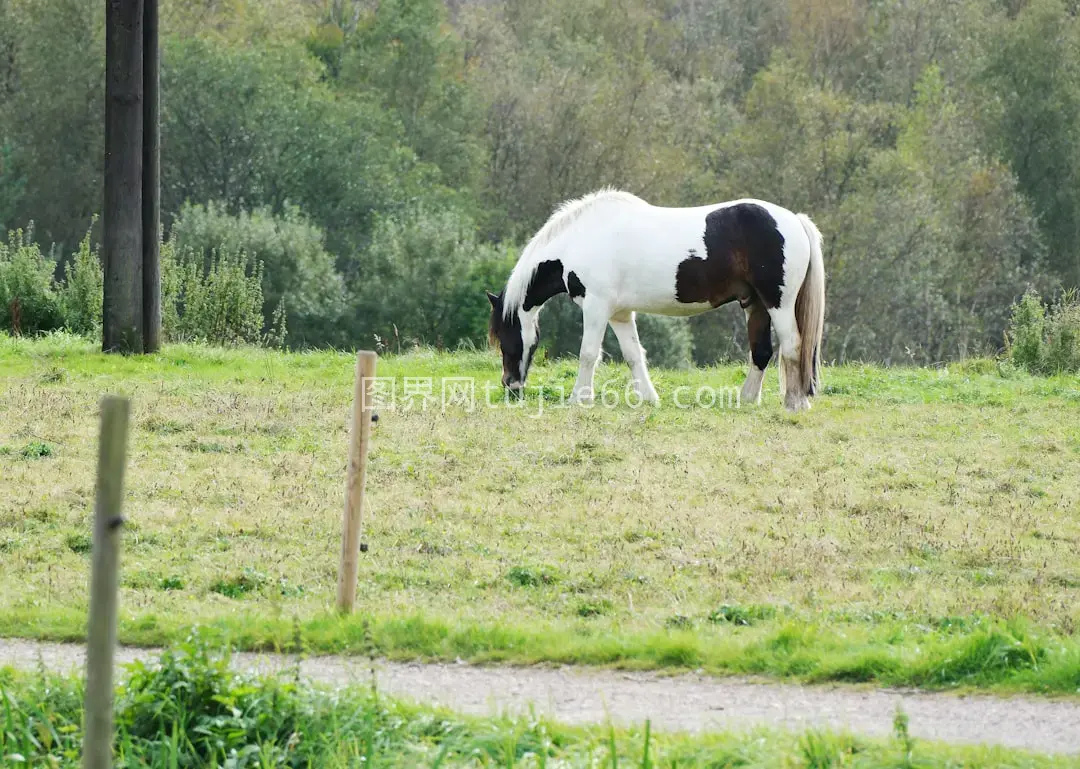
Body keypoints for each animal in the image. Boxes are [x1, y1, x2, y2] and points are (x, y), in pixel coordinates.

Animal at [490, 189, 825, 412]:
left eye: (506, 339)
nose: (511, 386)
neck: (581, 239)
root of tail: (795, 221)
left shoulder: (596, 307)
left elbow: (587, 354)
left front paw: (578, 399)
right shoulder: (620, 314)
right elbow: (633, 355)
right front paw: (650, 398)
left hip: (777, 302)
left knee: (792, 347)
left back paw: (794, 403)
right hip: (754, 303)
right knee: (762, 351)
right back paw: (747, 400)